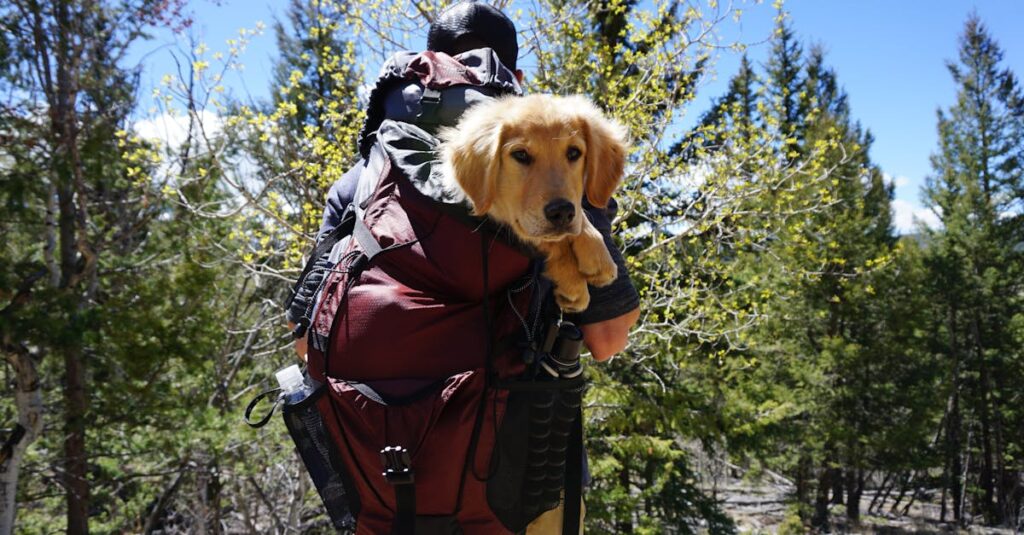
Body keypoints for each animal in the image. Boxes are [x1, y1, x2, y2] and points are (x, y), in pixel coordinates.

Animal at [442, 93, 626, 309]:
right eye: (520, 154)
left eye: (574, 153)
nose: (562, 212)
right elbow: (543, 239)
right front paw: (573, 282)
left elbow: (578, 216)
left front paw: (596, 252)